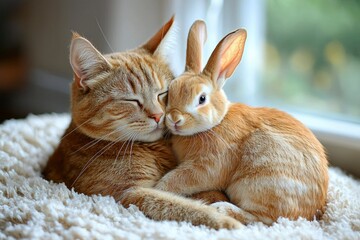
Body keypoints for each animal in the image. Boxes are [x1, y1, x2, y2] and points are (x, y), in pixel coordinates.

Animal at [43, 16, 240, 229]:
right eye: (131, 100)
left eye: (163, 93)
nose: (158, 115)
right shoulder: (129, 194)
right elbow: (184, 206)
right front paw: (227, 221)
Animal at [155, 20, 330, 225]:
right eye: (170, 92)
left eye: (202, 99)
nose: (174, 118)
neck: (215, 125)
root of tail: (312, 213)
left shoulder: (208, 165)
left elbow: (179, 179)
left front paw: (158, 188)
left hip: (258, 184)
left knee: (261, 218)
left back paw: (221, 208)